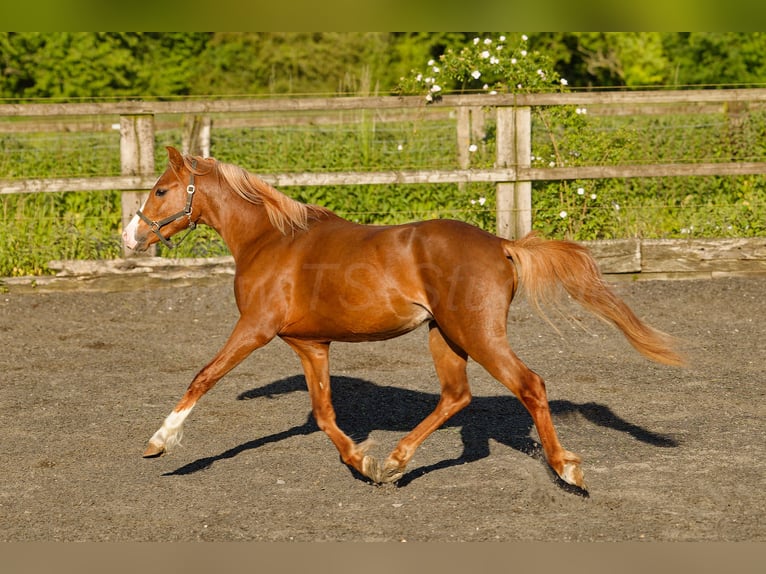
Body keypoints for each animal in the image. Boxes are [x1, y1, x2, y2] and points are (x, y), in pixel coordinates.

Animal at [124, 146, 684, 492]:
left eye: (160, 190)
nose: (129, 238)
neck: (271, 240)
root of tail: (501, 244)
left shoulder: (255, 329)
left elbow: (203, 377)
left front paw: (159, 443)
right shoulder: (310, 344)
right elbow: (325, 415)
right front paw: (364, 463)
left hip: (475, 334)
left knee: (529, 385)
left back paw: (567, 469)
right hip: (445, 336)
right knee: (456, 396)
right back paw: (395, 462)